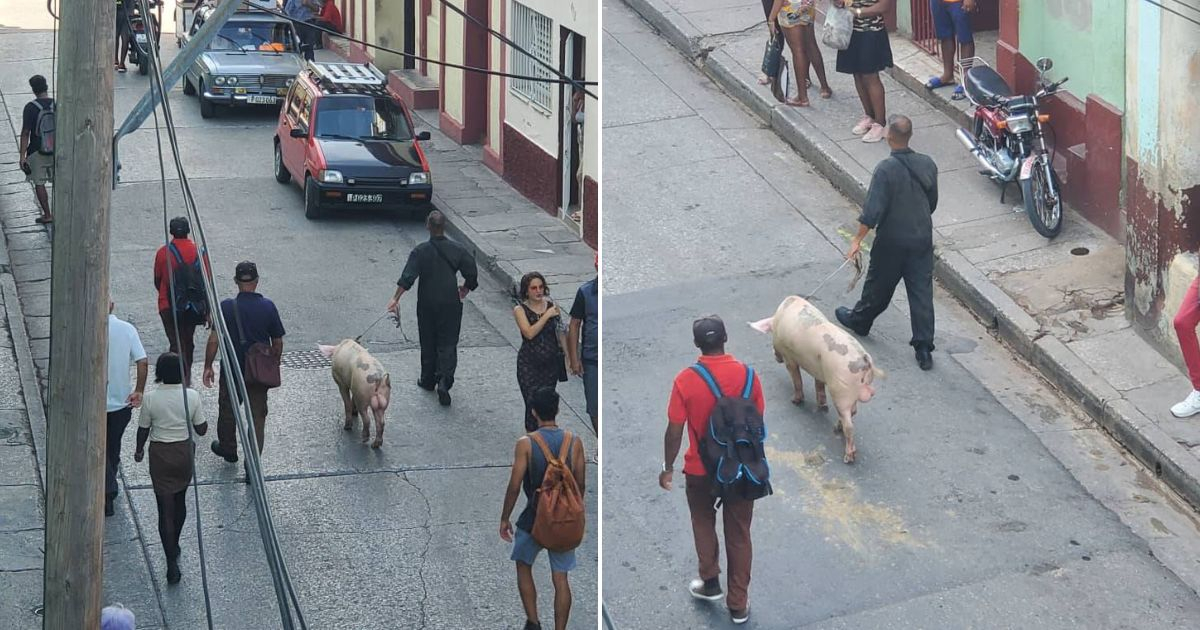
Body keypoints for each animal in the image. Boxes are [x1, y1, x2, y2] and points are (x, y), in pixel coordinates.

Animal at [748, 295, 883, 460]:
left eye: (771, 334)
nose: (775, 356)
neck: (778, 319)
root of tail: (864, 359)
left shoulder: (789, 357)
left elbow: (797, 379)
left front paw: (795, 401)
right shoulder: (819, 371)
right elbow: (818, 384)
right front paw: (822, 405)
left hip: (841, 392)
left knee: (849, 423)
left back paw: (848, 456)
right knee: (853, 412)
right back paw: (837, 427)